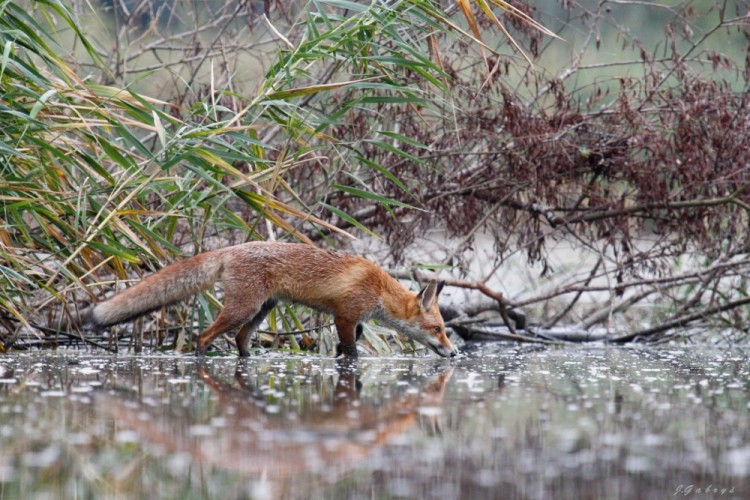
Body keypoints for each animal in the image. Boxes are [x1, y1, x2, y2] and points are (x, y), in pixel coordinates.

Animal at [73, 240, 458, 358]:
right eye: (438, 329)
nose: (455, 353)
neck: (377, 288)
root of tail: (230, 248)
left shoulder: (355, 322)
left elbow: (344, 348)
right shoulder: (346, 317)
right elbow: (350, 353)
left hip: (260, 310)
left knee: (241, 340)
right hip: (241, 309)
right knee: (205, 336)